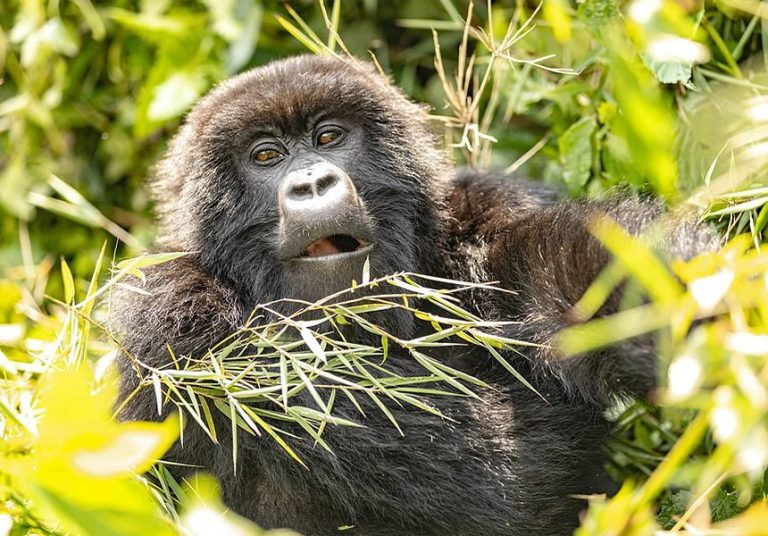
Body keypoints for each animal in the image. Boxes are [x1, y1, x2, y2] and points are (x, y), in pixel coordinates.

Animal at [112, 55, 718, 535]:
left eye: (329, 137)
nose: (312, 183)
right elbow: (503, 476)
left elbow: (586, 277)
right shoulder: (174, 319)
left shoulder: (486, 218)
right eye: (265, 156)